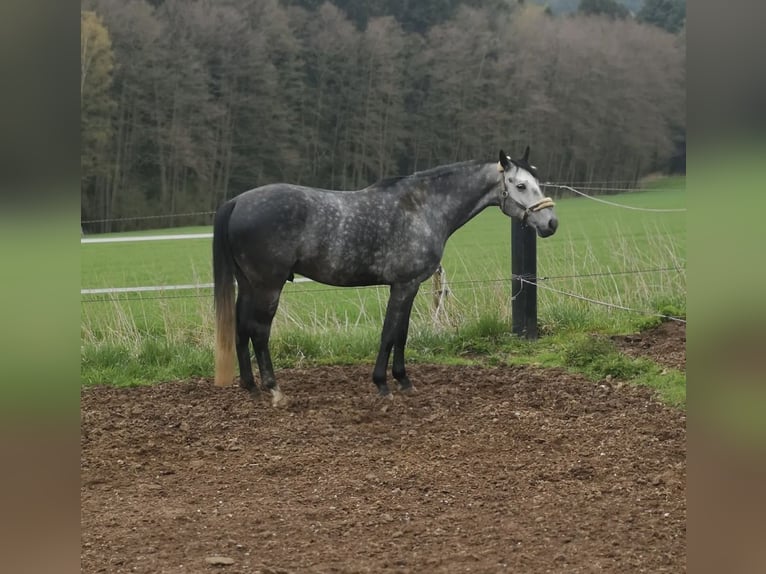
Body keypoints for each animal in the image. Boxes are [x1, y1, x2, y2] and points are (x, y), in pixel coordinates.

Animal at [212, 147, 558, 406]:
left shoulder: (409, 286)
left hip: (248, 285)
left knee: (241, 329)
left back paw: (251, 387)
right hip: (268, 287)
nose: (551, 223)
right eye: (521, 185)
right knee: (259, 332)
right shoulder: (404, 285)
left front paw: (403, 381)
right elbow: (389, 333)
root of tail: (237, 202)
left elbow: (401, 333)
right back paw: (274, 390)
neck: (422, 207)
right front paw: (383, 384)